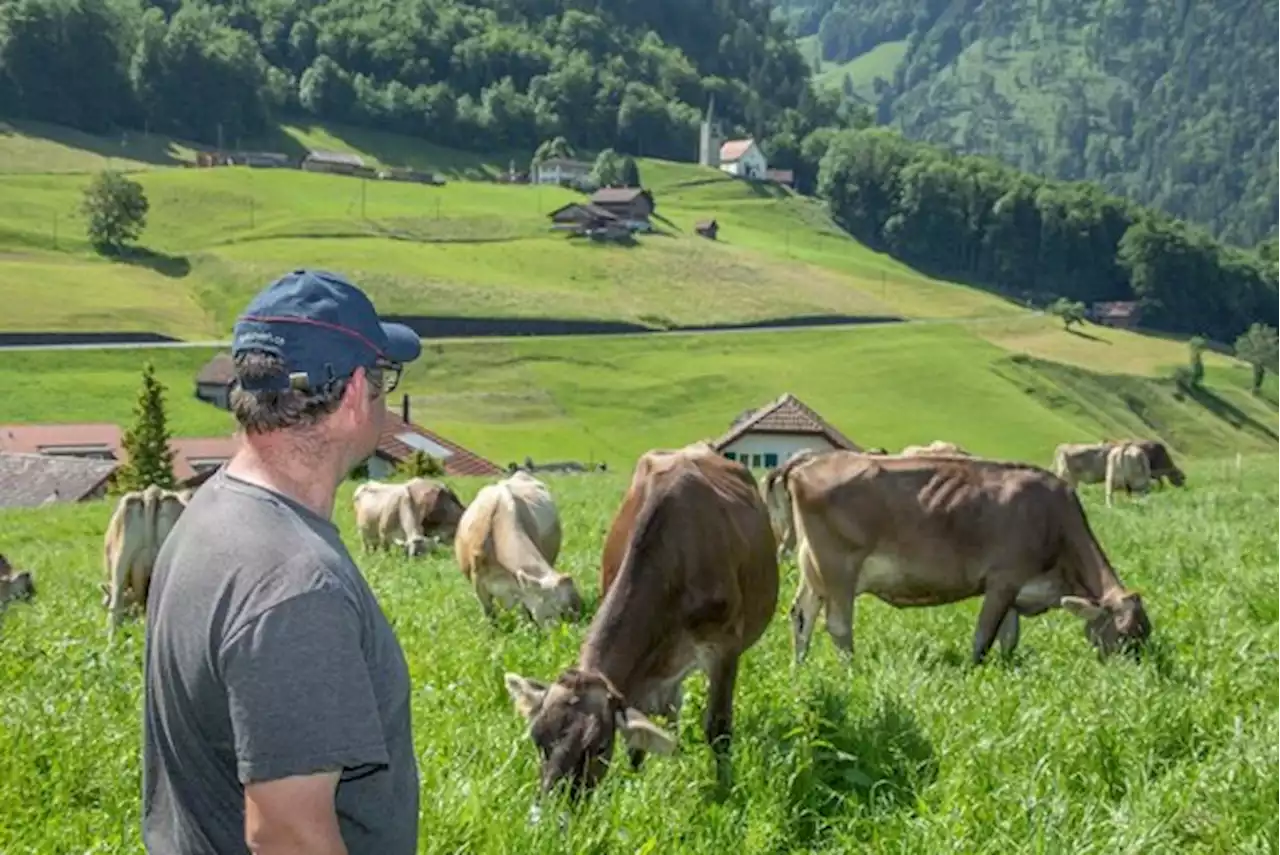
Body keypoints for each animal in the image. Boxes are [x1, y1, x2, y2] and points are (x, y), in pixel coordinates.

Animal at [504, 445, 773, 798]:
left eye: (599, 746)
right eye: (538, 738)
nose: (552, 806)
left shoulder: (724, 647)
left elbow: (718, 728)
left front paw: (725, 787)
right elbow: (640, 736)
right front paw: (637, 784)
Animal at [762, 450, 1157, 665]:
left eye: (1145, 633)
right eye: (1123, 634)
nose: (1133, 677)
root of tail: (808, 460)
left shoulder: (1016, 591)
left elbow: (1009, 639)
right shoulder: (1003, 580)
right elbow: (983, 637)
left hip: (812, 568)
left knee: (801, 615)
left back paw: (799, 668)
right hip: (838, 569)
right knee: (838, 626)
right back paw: (851, 671)